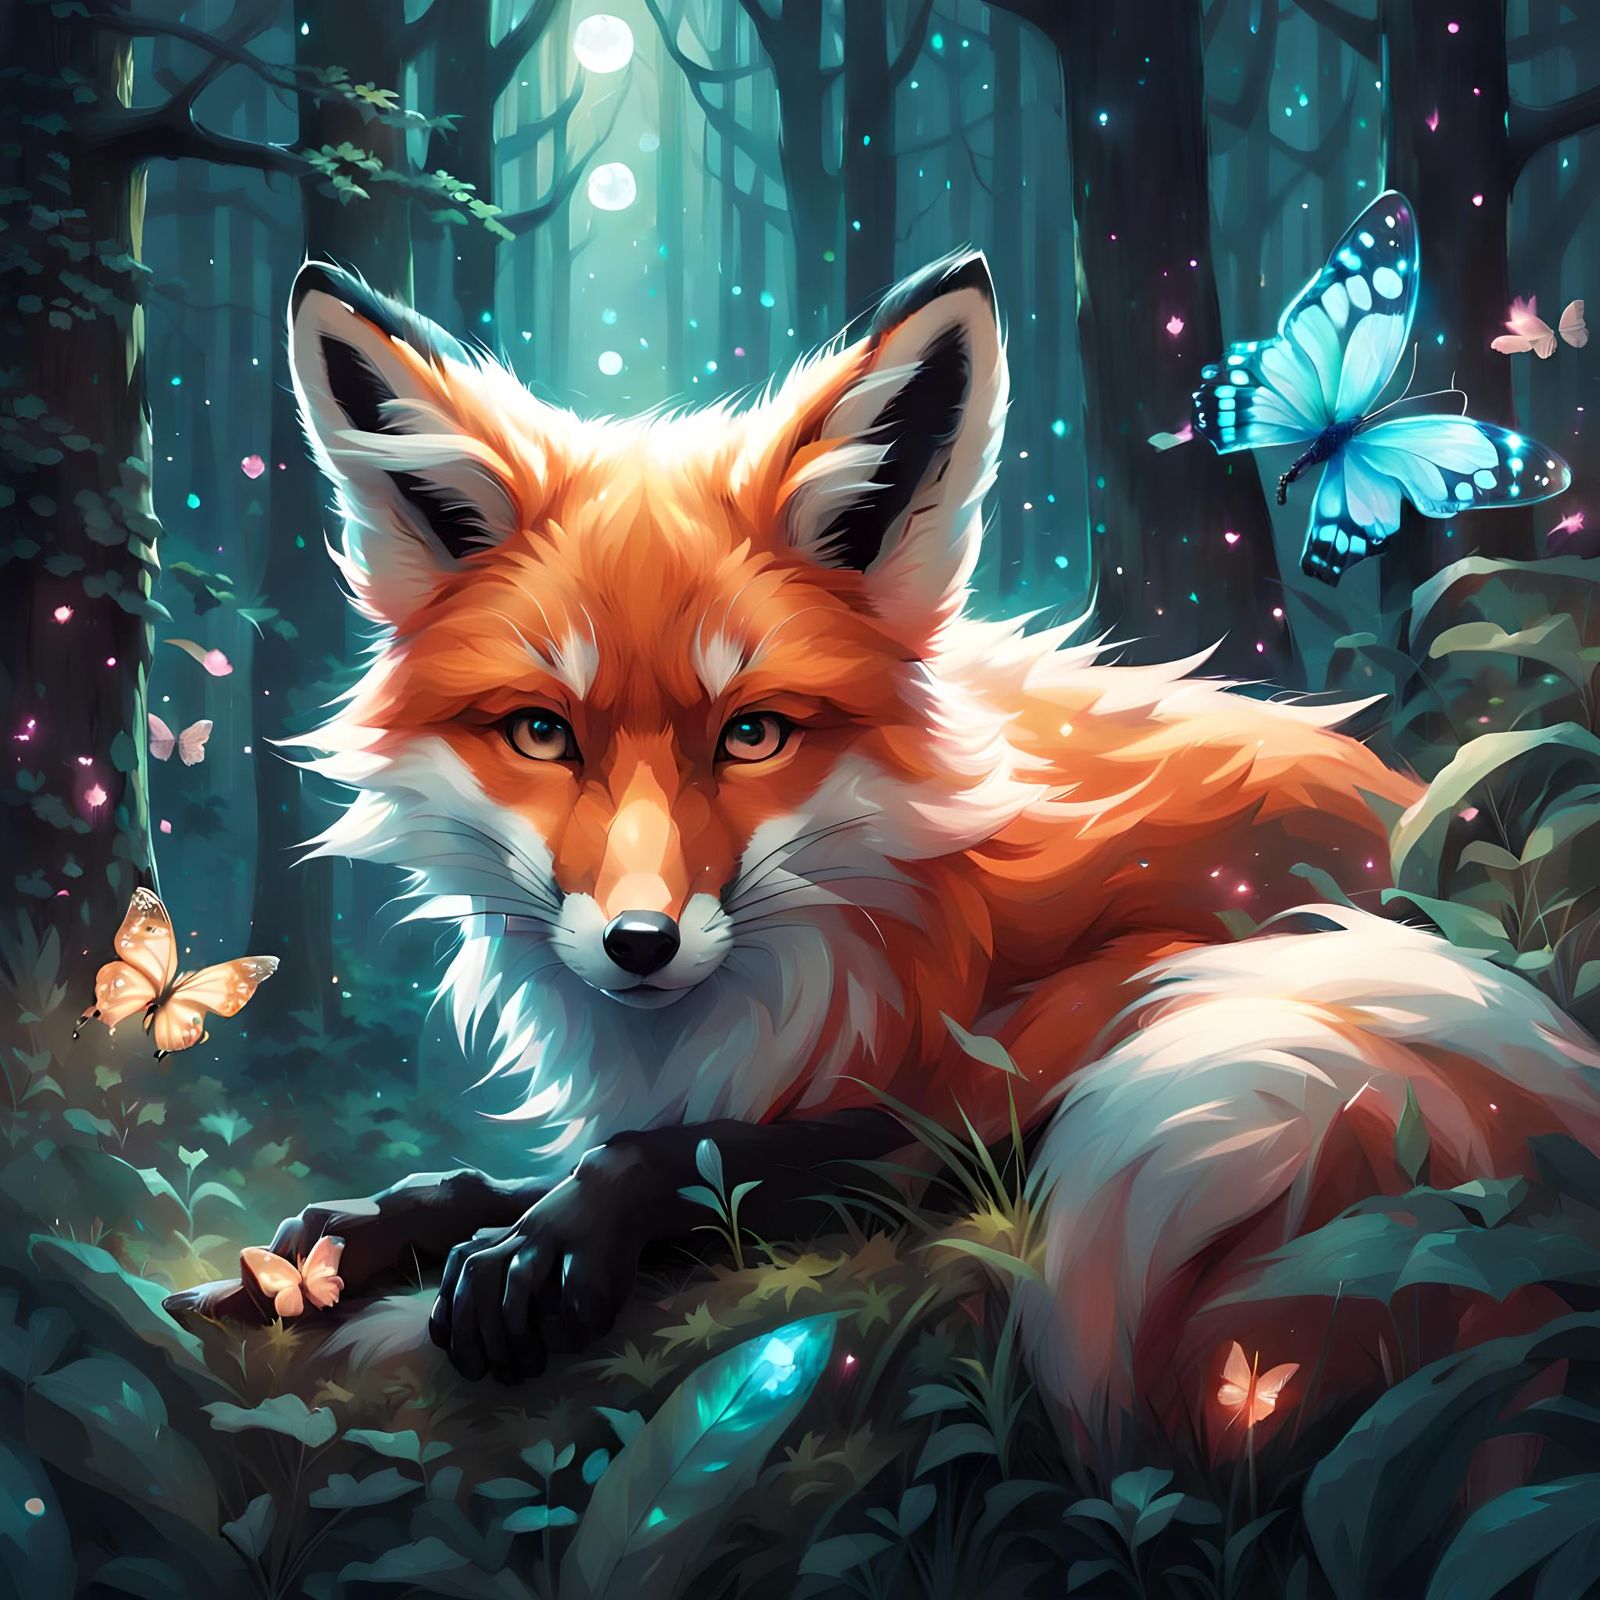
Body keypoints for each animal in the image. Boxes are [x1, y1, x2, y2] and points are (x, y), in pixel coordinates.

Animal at [171, 250, 1600, 1452]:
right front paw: (353, 1237)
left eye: (752, 733)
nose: (639, 944)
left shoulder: (1041, 1054)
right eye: (541, 731)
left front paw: (542, 1247)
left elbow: (685, 1157)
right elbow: (493, 1174)